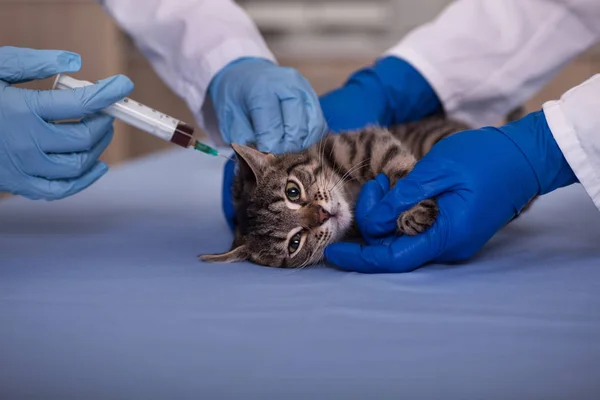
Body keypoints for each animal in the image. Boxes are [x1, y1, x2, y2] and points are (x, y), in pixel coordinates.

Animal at [199, 113, 476, 268]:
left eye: (292, 192)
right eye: (294, 243)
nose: (323, 214)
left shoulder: (369, 143)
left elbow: (400, 170)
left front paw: (414, 211)